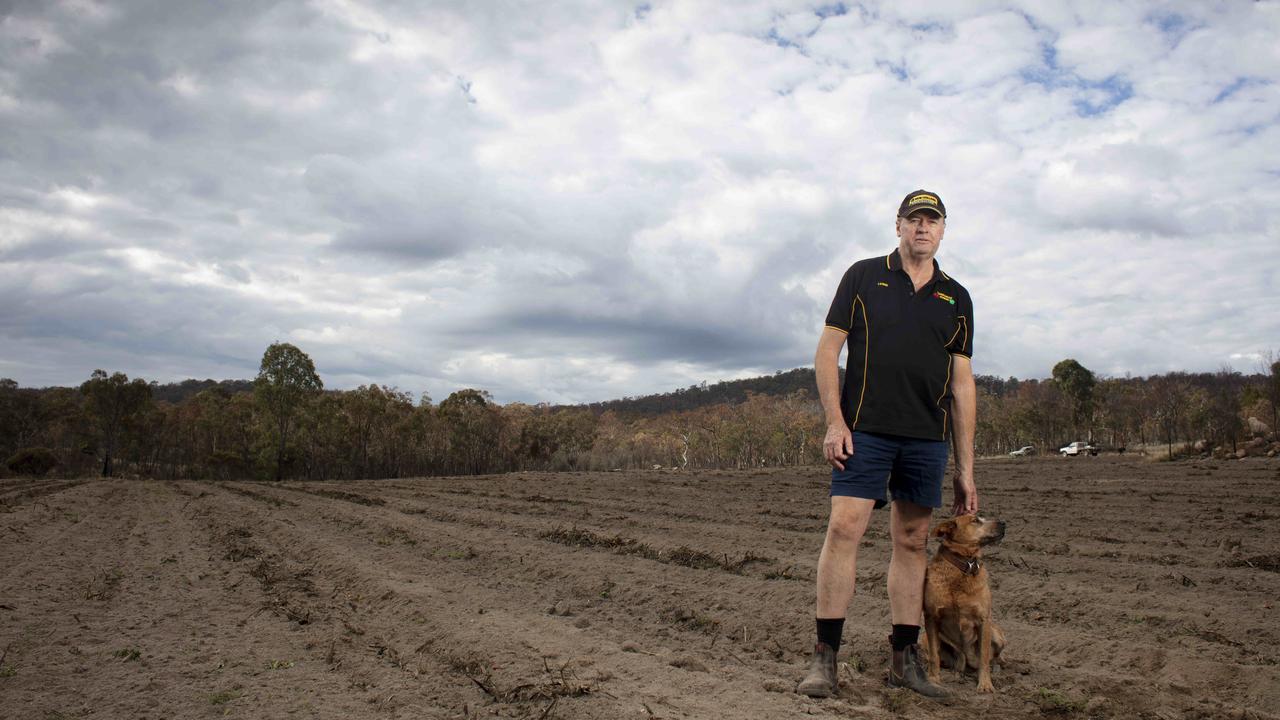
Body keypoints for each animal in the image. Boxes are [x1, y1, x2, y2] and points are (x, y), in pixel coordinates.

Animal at [926, 509, 1003, 691]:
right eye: (975, 520)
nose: (1003, 523)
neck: (964, 566)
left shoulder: (984, 620)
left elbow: (984, 657)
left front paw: (985, 684)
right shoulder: (931, 617)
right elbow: (934, 655)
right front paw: (933, 679)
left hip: (997, 635)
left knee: (994, 657)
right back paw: (956, 672)